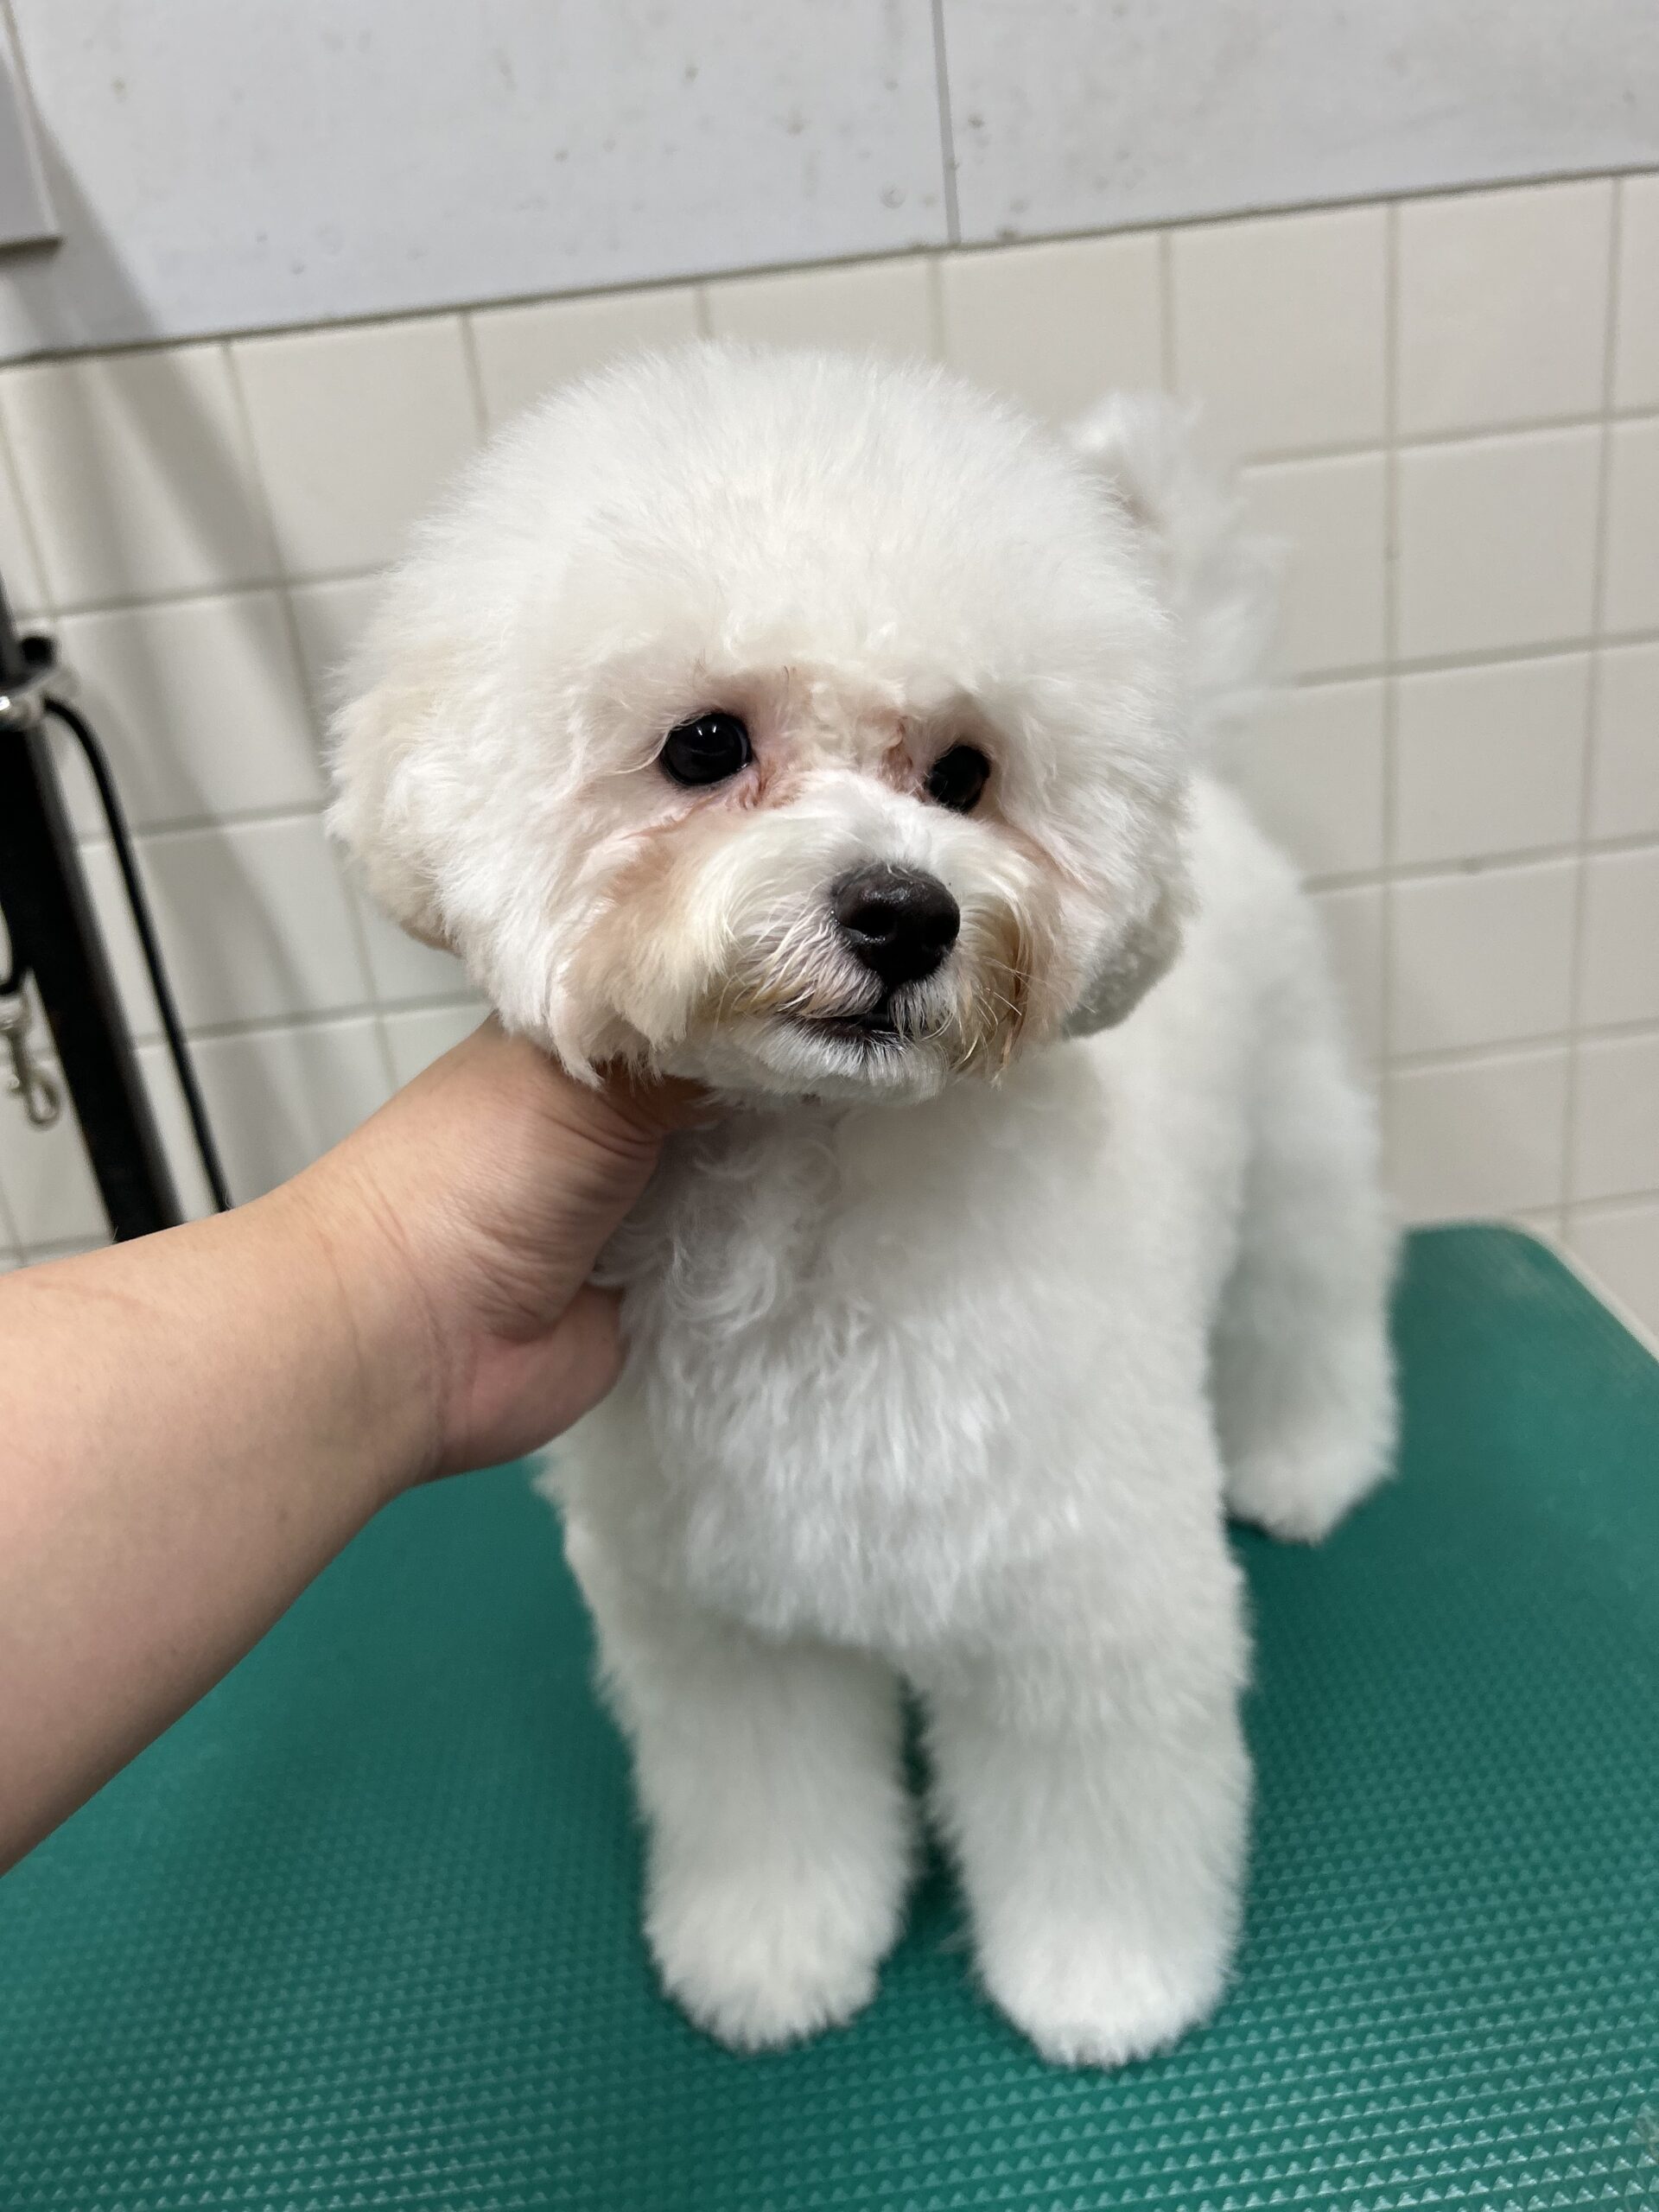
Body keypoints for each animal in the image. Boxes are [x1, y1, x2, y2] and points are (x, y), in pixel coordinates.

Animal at [330, 343, 1396, 2067]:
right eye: (703, 744)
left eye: (965, 773)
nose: (906, 911)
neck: (814, 1196)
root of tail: (1206, 780)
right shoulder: (724, 1625)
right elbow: (770, 1800)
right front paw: (773, 1958)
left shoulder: (1081, 1595)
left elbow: (1100, 1806)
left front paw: (1109, 1985)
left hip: (1296, 1129)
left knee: (1312, 1294)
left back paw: (1313, 1458)